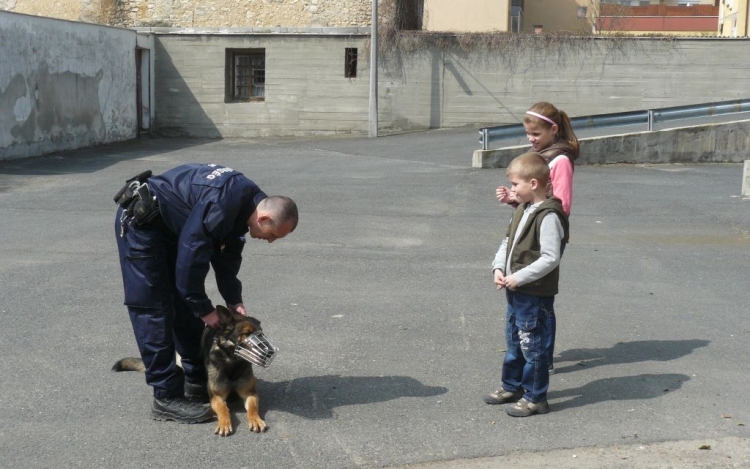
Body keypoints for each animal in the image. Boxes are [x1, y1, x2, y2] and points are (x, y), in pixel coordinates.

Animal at [110, 306, 266, 436]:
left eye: (261, 332)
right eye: (246, 333)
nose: (266, 350)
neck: (231, 363)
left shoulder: (250, 393)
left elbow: (252, 408)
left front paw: (255, 420)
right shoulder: (217, 397)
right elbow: (224, 409)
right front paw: (224, 423)